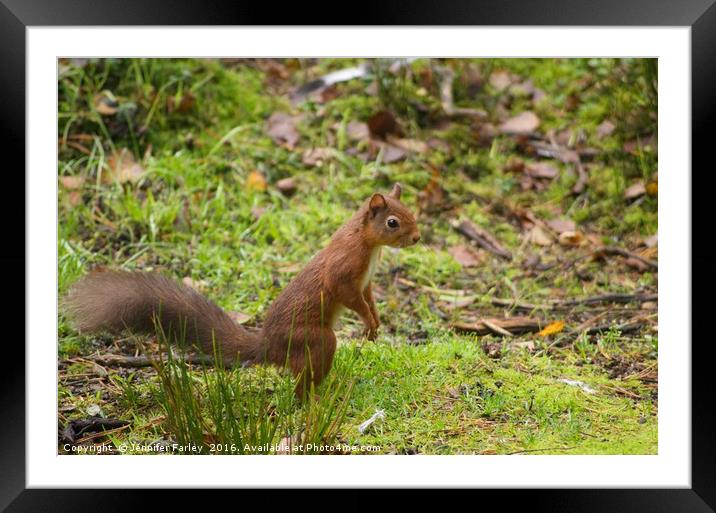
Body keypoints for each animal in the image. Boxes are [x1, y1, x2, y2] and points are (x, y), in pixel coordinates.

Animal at [65, 184, 422, 396]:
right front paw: (368, 324)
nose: (417, 238)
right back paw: (315, 397)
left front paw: (376, 323)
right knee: (304, 377)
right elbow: (351, 298)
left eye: (412, 214)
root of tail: (267, 347)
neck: (368, 244)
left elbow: (370, 299)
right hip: (313, 340)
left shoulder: (367, 282)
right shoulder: (343, 274)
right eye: (392, 222)